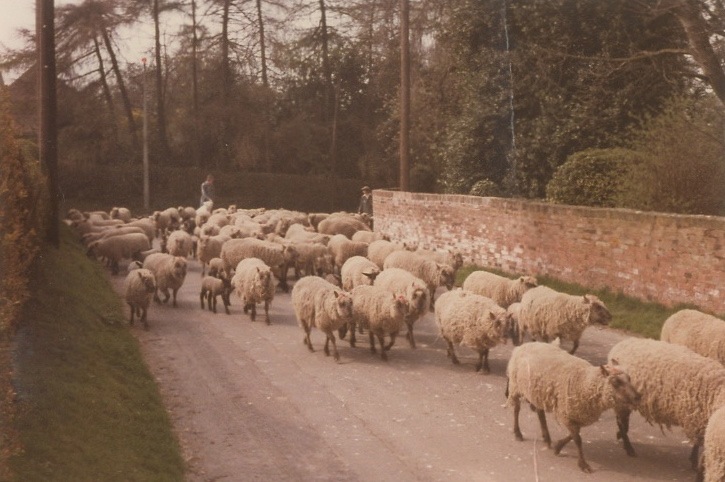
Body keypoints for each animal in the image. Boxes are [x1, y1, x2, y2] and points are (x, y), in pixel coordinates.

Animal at [504, 340, 640, 472]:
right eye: (615, 382)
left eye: (629, 378)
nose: (637, 397)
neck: (584, 381)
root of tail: (525, 344)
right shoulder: (566, 413)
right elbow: (578, 439)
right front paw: (583, 464)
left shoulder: (576, 414)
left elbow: (574, 434)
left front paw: (558, 446)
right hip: (515, 385)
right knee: (516, 409)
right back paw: (518, 433)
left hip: (537, 392)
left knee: (540, 412)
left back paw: (546, 437)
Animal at [604, 336, 724, 470]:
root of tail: (621, 344)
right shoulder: (696, 420)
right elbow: (698, 443)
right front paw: (694, 462)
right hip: (621, 400)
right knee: (621, 422)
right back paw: (629, 448)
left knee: (623, 421)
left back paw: (621, 437)